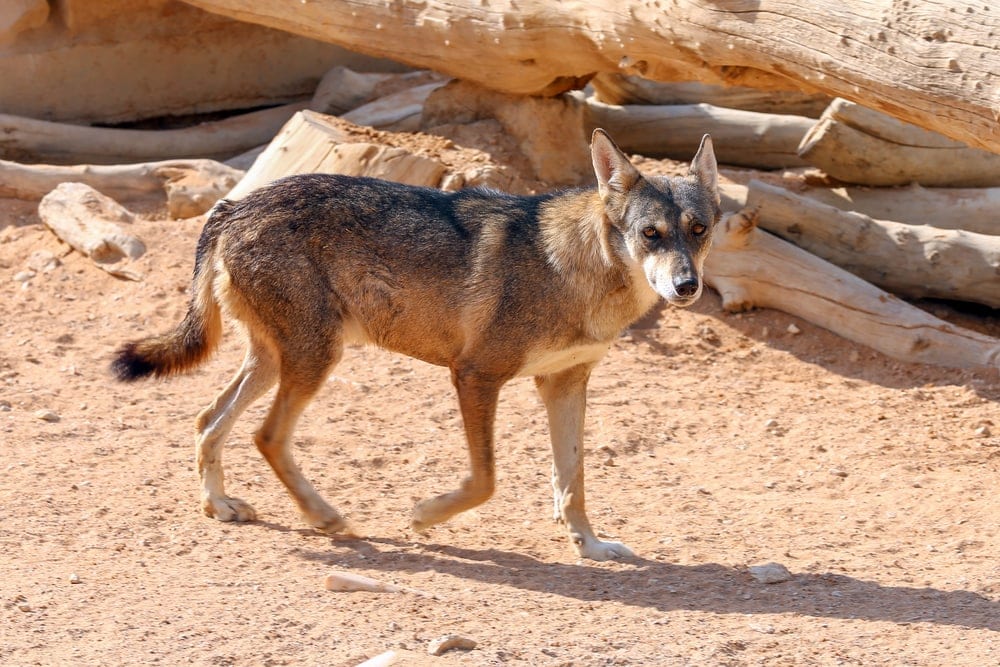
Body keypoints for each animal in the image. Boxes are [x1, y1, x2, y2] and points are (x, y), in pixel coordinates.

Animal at [111, 129, 720, 561]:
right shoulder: (475, 374)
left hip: (275, 362)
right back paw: (325, 518)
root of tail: (233, 206)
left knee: (207, 419)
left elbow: (573, 480)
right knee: (265, 436)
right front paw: (424, 515)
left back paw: (218, 505)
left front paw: (590, 546)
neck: (572, 270)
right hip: (314, 360)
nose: (686, 287)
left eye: (699, 230)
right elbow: (485, 480)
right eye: (650, 235)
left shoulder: (564, 384)